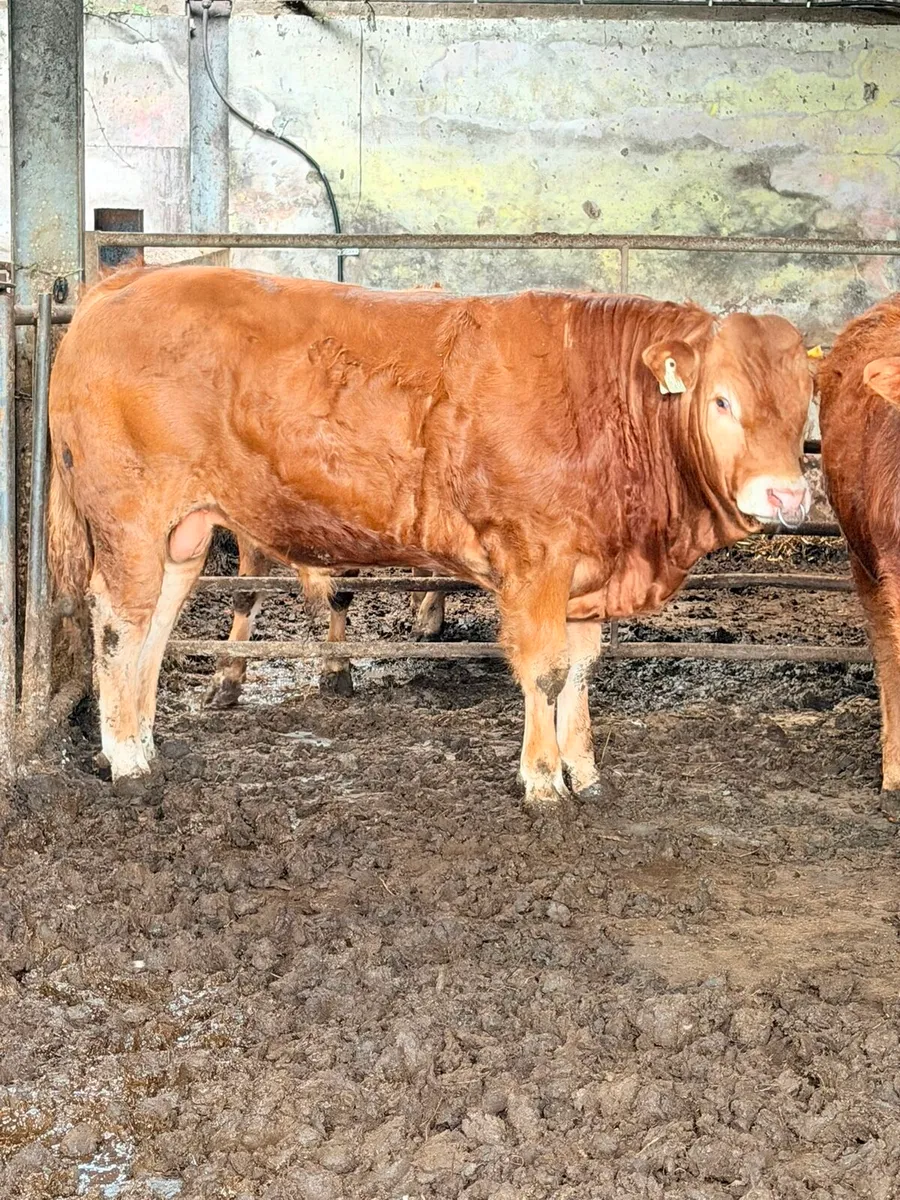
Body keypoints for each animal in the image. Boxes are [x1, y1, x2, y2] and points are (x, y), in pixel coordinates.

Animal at [48, 266, 812, 808]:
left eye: (805, 399)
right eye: (721, 399)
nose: (788, 494)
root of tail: (125, 283)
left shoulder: (587, 574)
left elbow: (581, 673)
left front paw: (586, 772)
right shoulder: (535, 562)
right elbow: (546, 670)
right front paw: (542, 781)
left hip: (185, 531)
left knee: (155, 626)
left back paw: (146, 744)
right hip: (131, 517)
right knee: (118, 623)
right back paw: (127, 761)